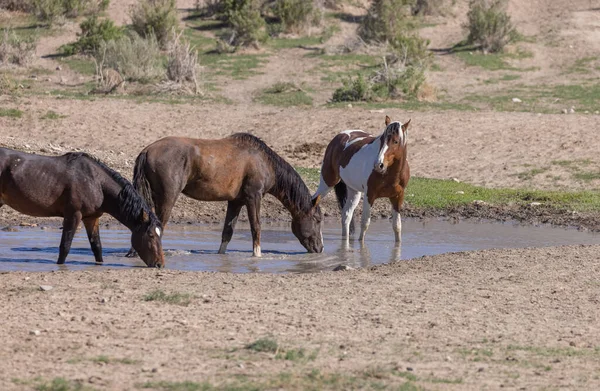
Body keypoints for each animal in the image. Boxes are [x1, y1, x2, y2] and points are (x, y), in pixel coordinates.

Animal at [0, 149, 165, 268]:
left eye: (160, 235)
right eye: (151, 235)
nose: (160, 264)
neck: (96, 182)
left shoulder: (92, 218)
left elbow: (97, 247)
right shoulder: (73, 215)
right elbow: (65, 247)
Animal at [127, 133, 324, 258]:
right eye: (318, 219)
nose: (320, 248)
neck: (263, 161)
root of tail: (147, 150)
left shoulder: (235, 202)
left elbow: (227, 231)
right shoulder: (254, 197)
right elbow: (256, 227)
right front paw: (257, 254)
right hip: (167, 198)